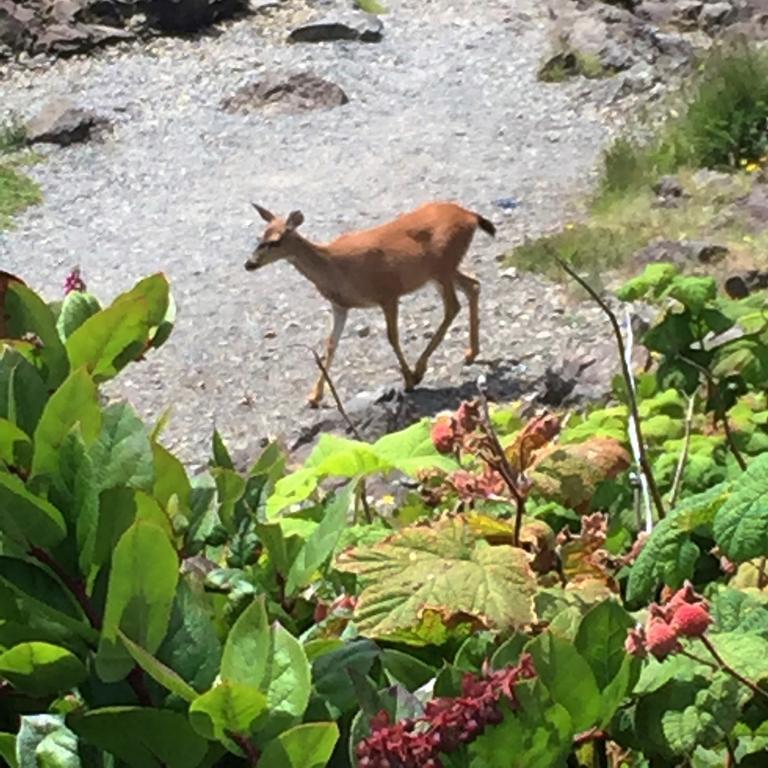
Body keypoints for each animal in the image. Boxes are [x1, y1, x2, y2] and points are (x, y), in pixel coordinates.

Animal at [246, 200, 498, 408]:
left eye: (276, 241)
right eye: (260, 238)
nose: (249, 264)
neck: (334, 266)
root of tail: (470, 215)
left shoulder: (388, 294)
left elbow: (392, 337)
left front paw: (409, 380)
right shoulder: (340, 306)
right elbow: (331, 344)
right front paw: (314, 396)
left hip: (442, 267)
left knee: (453, 306)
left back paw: (421, 369)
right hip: (442, 271)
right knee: (473, 286)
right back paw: (470, 353)